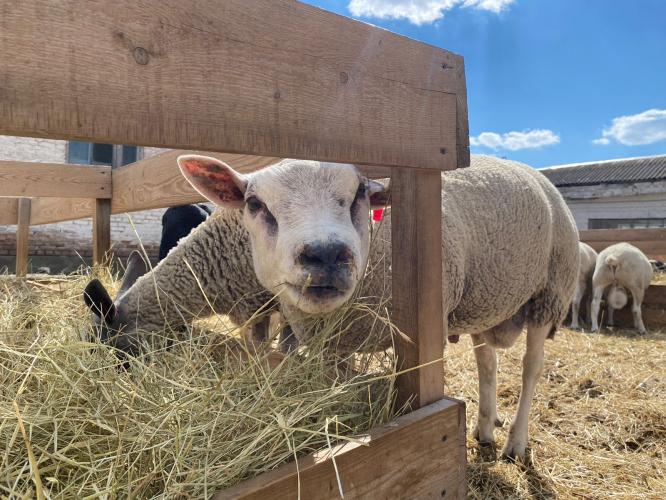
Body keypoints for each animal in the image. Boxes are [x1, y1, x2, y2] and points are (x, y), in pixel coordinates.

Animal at [172, 153, 580, 460]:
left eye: (360, 194)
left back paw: (516, 442)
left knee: (531, 366)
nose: (325, 255)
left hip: (552, 289)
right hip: (485, 299)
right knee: (487, 361)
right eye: (254, 204)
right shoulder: (332, 344)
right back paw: (484, 426)